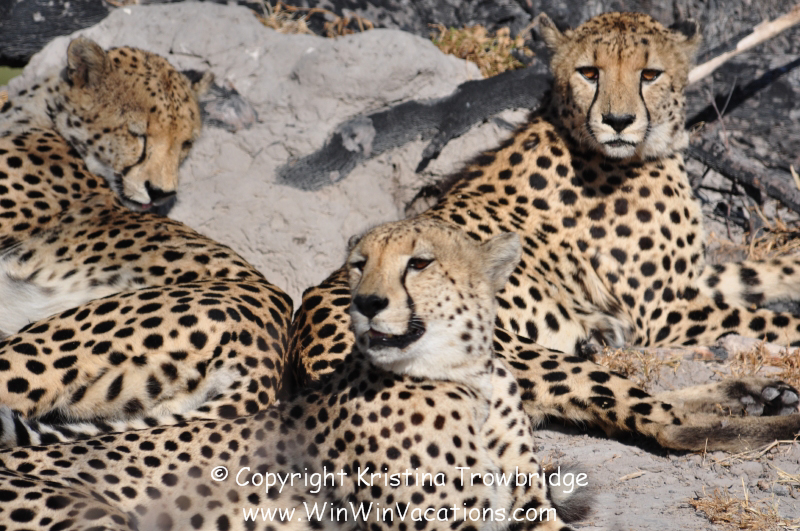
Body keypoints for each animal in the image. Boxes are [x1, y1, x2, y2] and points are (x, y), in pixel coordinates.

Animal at [286, 11, 800, 453]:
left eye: (649, 74)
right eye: (589, 72)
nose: (617, 122)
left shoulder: (688, 284)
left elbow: (757, 274)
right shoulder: (663, 313)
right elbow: (771, 320)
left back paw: (758, 393)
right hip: (521, 353)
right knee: (663, 422)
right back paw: (770, 414)